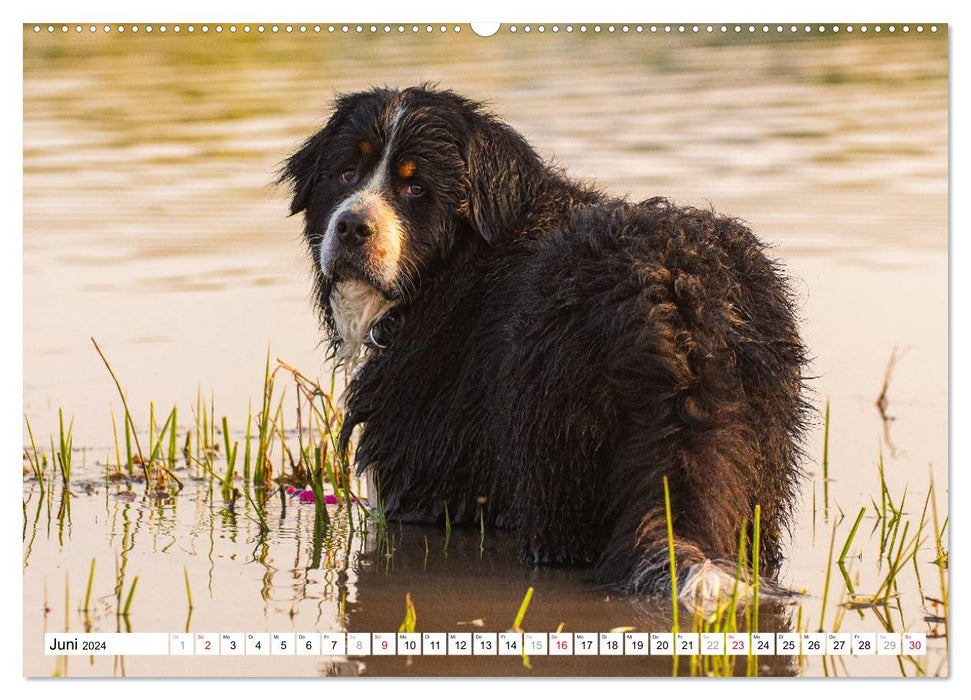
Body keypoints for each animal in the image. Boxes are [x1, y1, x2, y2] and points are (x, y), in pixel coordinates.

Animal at [282, 86, 812, 600]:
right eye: (346, 174)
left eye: (416, 188)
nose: (352, 227)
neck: (458, 268)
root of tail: (673, 310)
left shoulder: (425, 474)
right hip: (761, 465)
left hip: (553, 458)